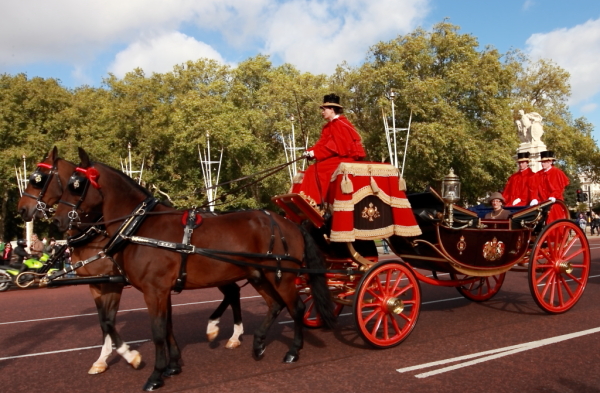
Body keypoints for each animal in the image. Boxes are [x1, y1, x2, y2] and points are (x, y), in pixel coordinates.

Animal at [17, 149, 244, 376]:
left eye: (38, 179)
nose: (22, 210)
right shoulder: (96, 284)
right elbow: (106, 322)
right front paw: (105, 360)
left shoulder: (114, 283)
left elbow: (111, 322)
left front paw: (131, 356)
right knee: (233, 292)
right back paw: (228, 333)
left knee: (233, 291)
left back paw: (222, 330)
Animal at [52, 147, 336, 388]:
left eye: (76, 185)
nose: (57, 221)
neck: (139, 227)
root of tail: (289, 223)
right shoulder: (155, 290)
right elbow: (159, 326)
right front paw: (169, 365)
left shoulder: (153, 290)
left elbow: (157, 331)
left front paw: (152, 371)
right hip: (260, 274)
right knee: (275, 304)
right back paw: (257, 343)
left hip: (283, 276)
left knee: (295, 308)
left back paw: (292, 350)